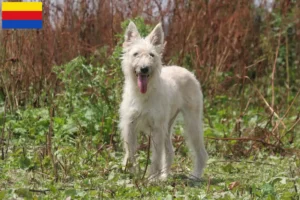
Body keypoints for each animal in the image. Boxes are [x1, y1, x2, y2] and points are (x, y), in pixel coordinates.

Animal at [118, 21, 207, 180]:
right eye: (135, 54)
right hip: (168, 126)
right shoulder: (129, 126)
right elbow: (131, 152)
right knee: (170, 151)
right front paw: (132, 172)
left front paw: (152, 178)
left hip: (192, 123)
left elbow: (156, 157)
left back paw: (195, 176)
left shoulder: (157, 129)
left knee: (201, 153)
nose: (144, 69)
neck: (144, 94)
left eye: (151, 55)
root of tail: (188, 71)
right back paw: (165, 176)